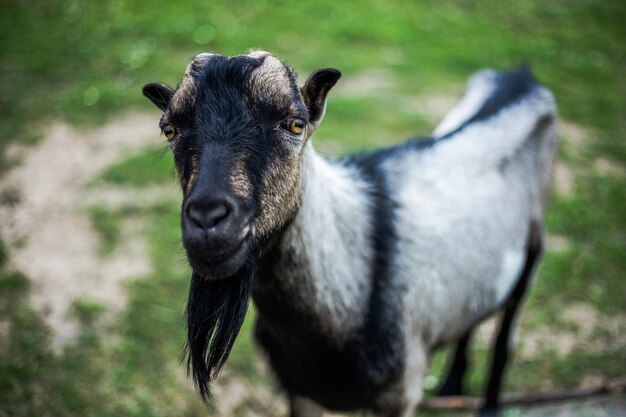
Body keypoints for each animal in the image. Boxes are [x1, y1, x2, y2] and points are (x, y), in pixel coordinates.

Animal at [143, 49, 556, 416]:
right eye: (169, 129)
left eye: (295, 123)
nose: (208, 221)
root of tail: (522, 78)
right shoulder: (299, 390)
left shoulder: (401, 393)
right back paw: (452, 386)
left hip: (533, 252)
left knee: (505, 338)